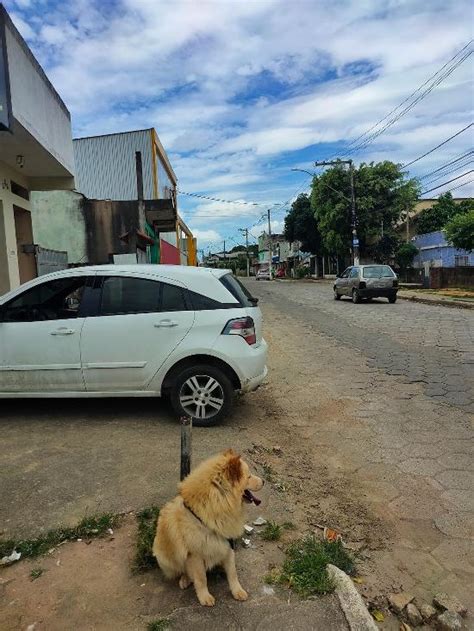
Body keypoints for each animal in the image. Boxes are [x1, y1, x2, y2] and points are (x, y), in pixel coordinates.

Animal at [153, 450, 262, 608]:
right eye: (249, 476)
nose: (263, 481)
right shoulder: (195, 555)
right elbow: (201, 578)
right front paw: (204, 597)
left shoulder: (227, 544)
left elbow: (233, 573)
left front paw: (237, 591)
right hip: (165, 558)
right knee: (182, 570)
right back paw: (185, 579)